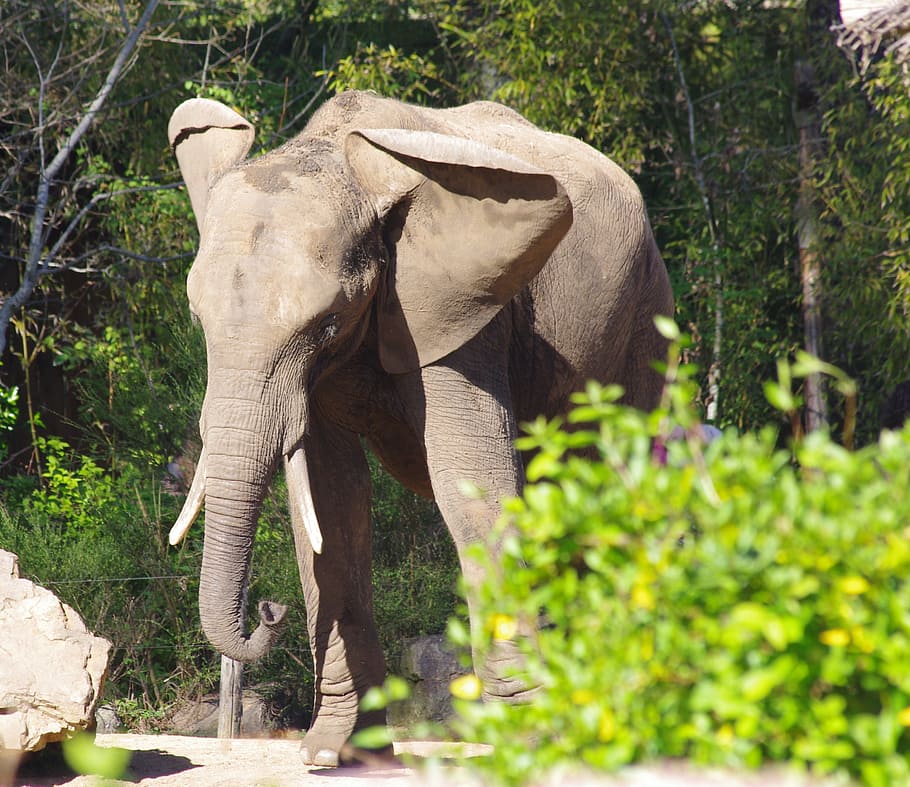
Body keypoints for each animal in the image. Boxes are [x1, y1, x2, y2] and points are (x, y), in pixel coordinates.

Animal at [166, 89, 673, 766]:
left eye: (326, 322)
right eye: (197, 318)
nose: (268, 610)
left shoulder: (462, 312)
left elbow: (470, 481)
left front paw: (534, 743)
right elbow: (333, 500)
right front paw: (334, 752)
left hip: (647, 317)